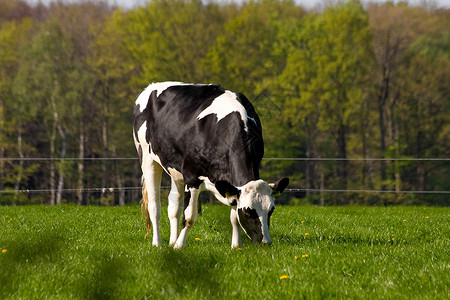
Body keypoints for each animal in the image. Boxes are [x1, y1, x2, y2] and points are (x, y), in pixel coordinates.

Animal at [133, 82, 288, 248]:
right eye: (248, 211)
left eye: (271, 210)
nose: (265, 242)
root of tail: (151, 86)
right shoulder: (192, 177)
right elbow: (189, 217)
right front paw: (180, 246)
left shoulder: (231, 185)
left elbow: (234, 217)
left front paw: (236, 246)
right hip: (147, 157)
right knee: (154, 206)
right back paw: (157, 243)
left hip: (175, 169)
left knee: (173, 205)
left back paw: (171, 242)